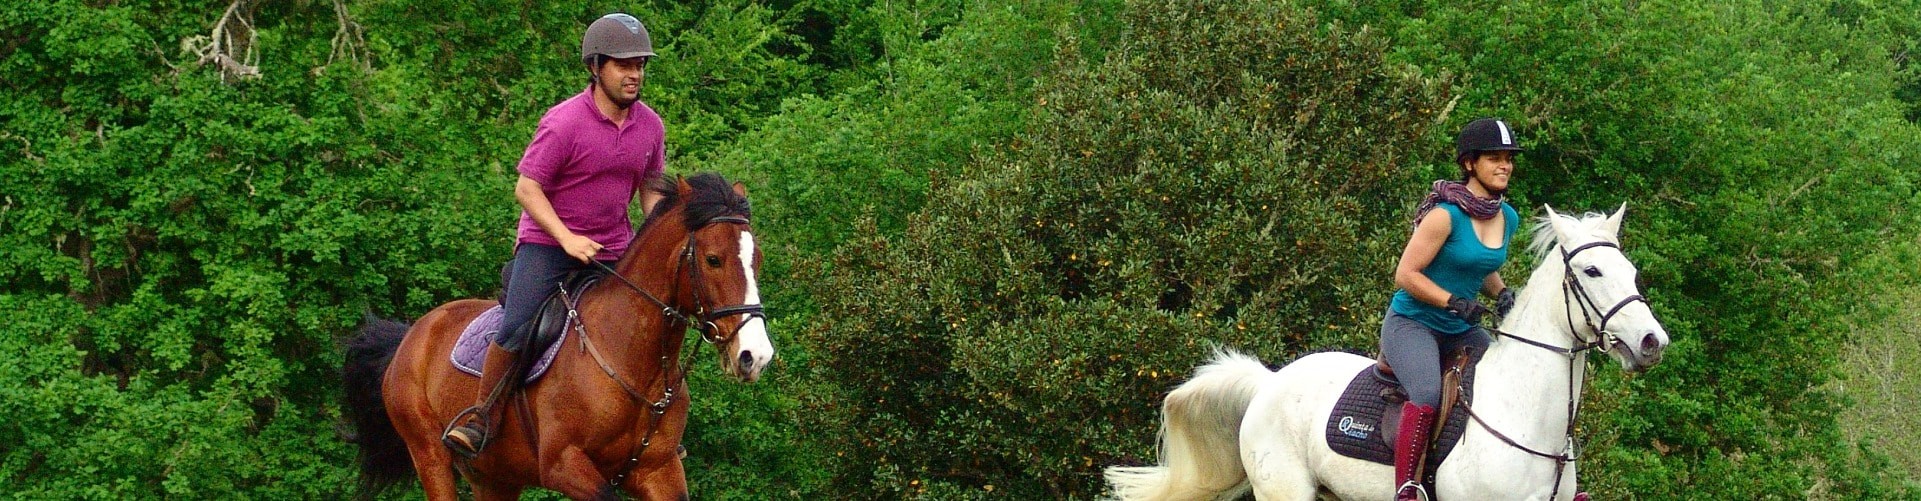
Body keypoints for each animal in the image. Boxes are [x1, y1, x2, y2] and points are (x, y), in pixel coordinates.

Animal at [345, 172, 772, 499]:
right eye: (713, 259)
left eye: (757, 259)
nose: (756, 356)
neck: (633, 361)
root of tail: (412, 335)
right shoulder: (563, 464)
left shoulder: (658, 470)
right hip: (429, 456)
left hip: (494, 477)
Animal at [1106, 204, 1675, 495]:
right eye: (1591, 271)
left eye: (1631, 271)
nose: (1653, 343)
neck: (1528, 423)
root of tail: (1271, 382)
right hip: (1286, 489)